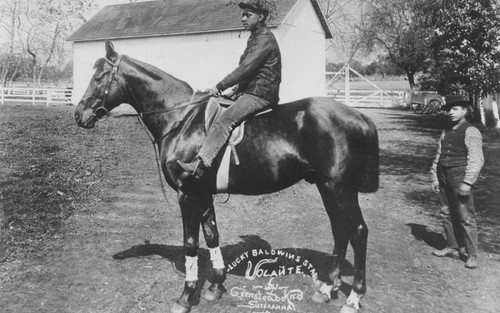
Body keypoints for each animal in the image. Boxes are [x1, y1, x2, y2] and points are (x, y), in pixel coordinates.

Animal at [74, 41, 378, 312]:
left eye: (99, 76)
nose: (79, 114)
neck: (181, 119)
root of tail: (359, 116)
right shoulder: (204, 193)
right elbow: (212, 235)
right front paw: (215, 287)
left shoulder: (188, 194)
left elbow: (191, 243)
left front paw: (186, 297)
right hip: (328, 188)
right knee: (341, 229)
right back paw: (327, 289)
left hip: (339, 188)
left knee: (358, 231)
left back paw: (353, 298)